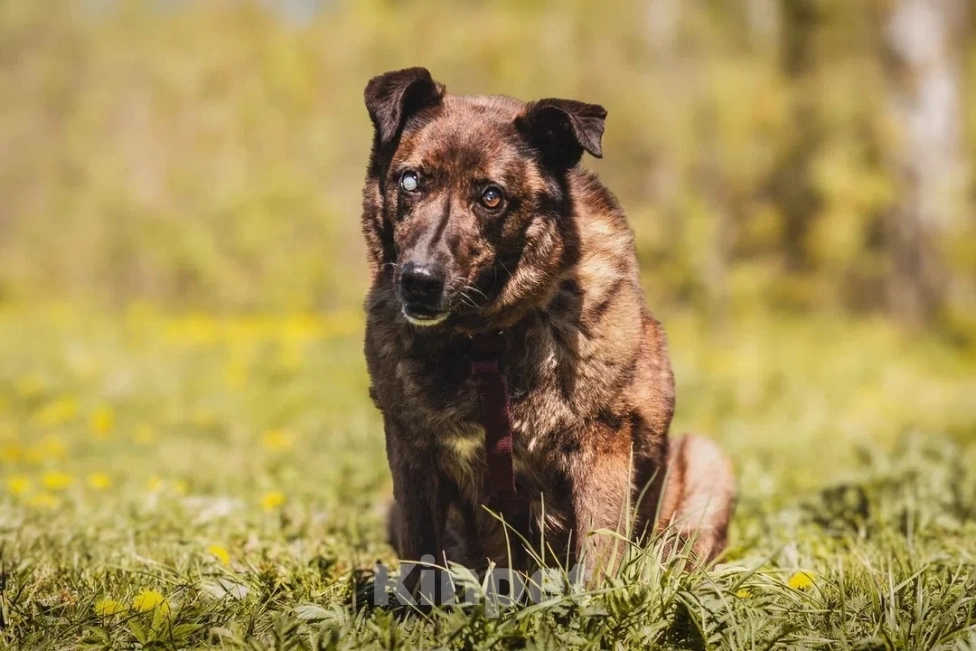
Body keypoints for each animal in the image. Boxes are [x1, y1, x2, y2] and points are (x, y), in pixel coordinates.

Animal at [362, 67, 736, 592]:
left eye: (491, 196)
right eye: (410, 181)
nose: (419, 281)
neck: (484, 342)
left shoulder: (601, 447)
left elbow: (599, 552)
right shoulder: (410, 450)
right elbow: (421, 553)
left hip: (705, 464)